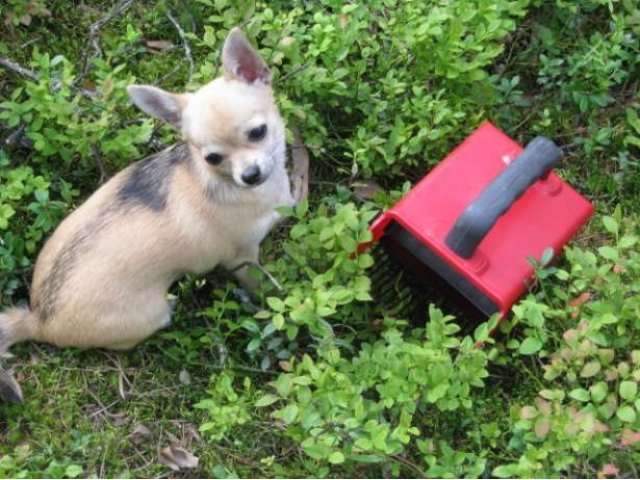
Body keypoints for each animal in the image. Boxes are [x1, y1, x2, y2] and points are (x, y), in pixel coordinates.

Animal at [0, 26, 304, 402]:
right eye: (212, 158)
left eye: (258, 132)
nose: (249, 175)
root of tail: (39, 317)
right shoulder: (243, 259)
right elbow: (264, 288)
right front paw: (280, 301)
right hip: (153, 314)